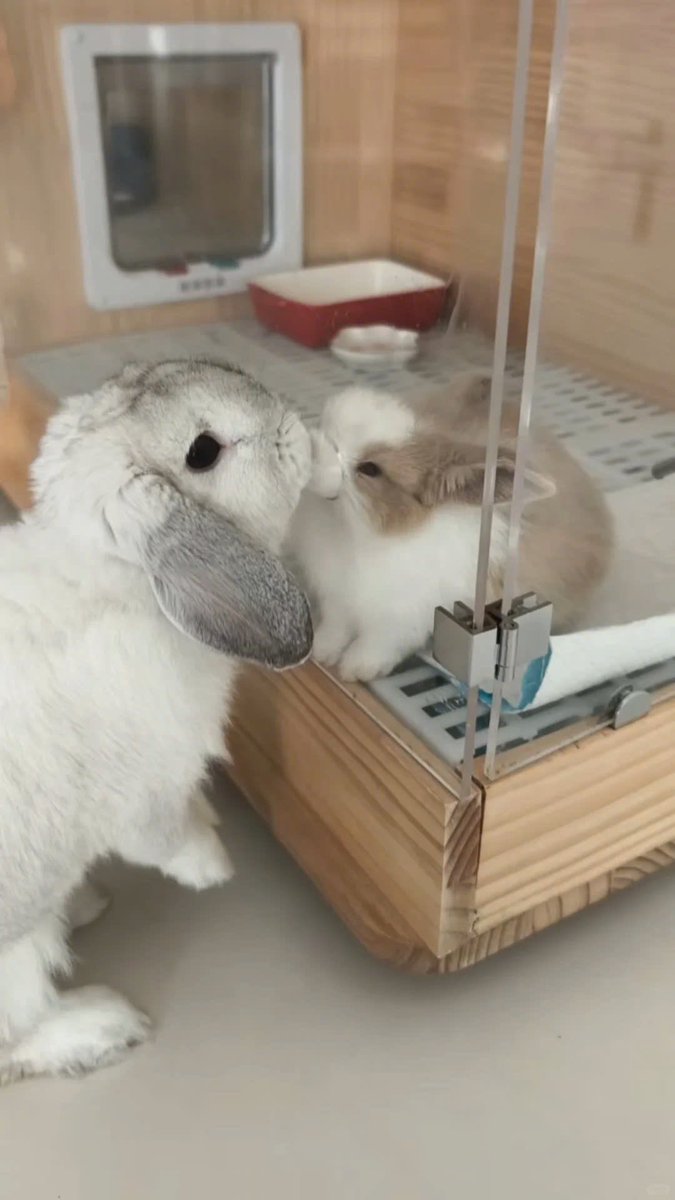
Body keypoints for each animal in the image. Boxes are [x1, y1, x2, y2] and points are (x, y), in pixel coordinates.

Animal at [0, 358, 313, 1086]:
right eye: (203, 451)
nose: (298, 424)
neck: (116, 586)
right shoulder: (143, 796)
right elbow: (168, 842)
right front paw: (215, 867)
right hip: (14, 963)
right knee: (16, 1035)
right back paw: (101, 1026)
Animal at [288, 371, 613, 682]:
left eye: (370, 469)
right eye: (324, 423)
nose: (309, 451)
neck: (355, 530)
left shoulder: (401, 618)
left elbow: (378, 644)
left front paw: (356, 669)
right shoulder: (338, 599)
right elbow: (336, 628)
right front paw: (322, 652)